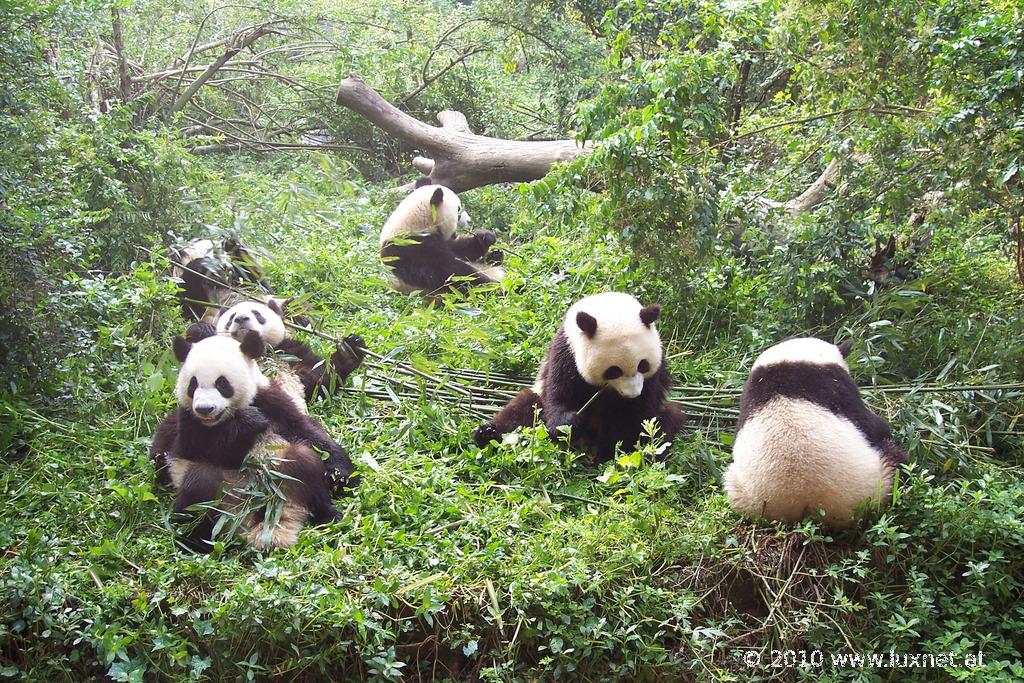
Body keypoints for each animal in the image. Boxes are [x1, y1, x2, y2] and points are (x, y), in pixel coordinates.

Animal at [148, 329, 360, 548]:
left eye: (222, 383)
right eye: (193, 384)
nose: (205, 409)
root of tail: (253, 516)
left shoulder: (269, 398)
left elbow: (304, 429)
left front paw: (342, 475)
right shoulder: (188, 420)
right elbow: (202, 448)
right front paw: (247, 422)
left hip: (286, 474)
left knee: (305, 462)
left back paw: (328, 515)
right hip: (216, 497)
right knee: (200, 486)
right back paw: (195, 541)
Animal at [473, 290, 688, 466]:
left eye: (643, 365)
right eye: (613, 371)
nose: (631, 394)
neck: (608, 306)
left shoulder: (654, 373)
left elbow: (631, 415)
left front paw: (609, 455)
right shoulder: (567, 352)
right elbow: (559, 395)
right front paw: (570, 422)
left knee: (664, 422)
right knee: (523, 411)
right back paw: (487, 434)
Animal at [724, 339, 909, 528]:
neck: (791, 361)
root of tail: (806, 504)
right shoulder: (835, 385)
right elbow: (869, 423)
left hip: (741, 492)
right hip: (875, 482)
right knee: (896, 461)